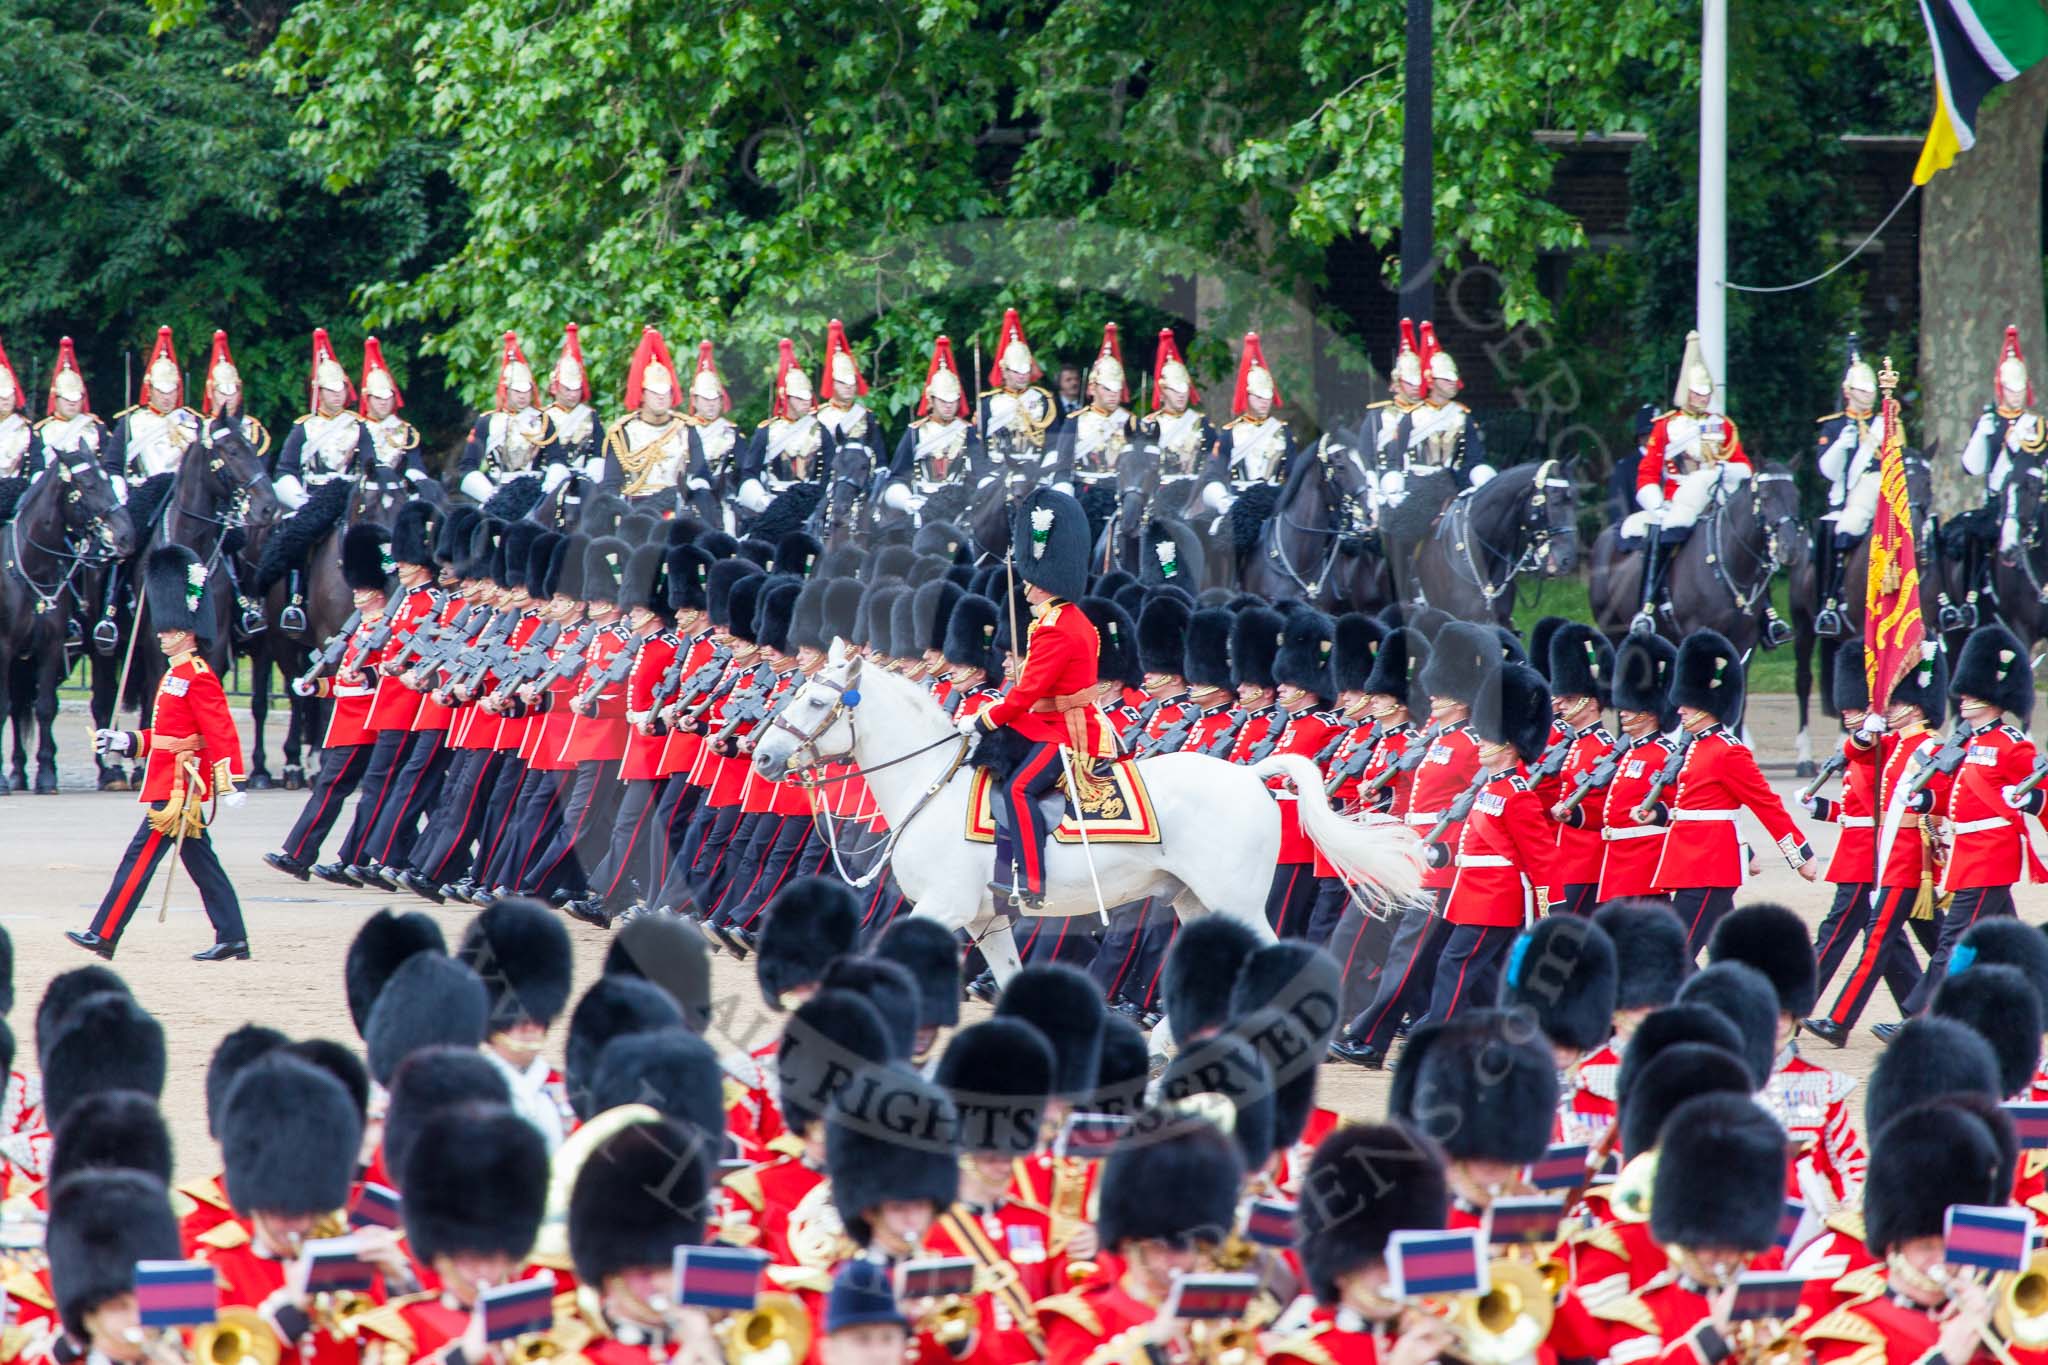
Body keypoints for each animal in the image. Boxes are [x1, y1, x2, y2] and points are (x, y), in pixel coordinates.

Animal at [0, 454, 134, 789]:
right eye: (89, 485)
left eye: (107, 480)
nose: (126, 535)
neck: (31, 567)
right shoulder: (4, 649)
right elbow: (4, 706)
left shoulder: (50, 646)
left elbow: (46, 706)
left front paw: (47, 773)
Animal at [749, 646, 1425, 998]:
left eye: (816, 699)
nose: (762, 757)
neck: (929, 785)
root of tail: (1250, 776)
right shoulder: (986, 918)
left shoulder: (943, 905)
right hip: (1195, 901)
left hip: (1234, 897)